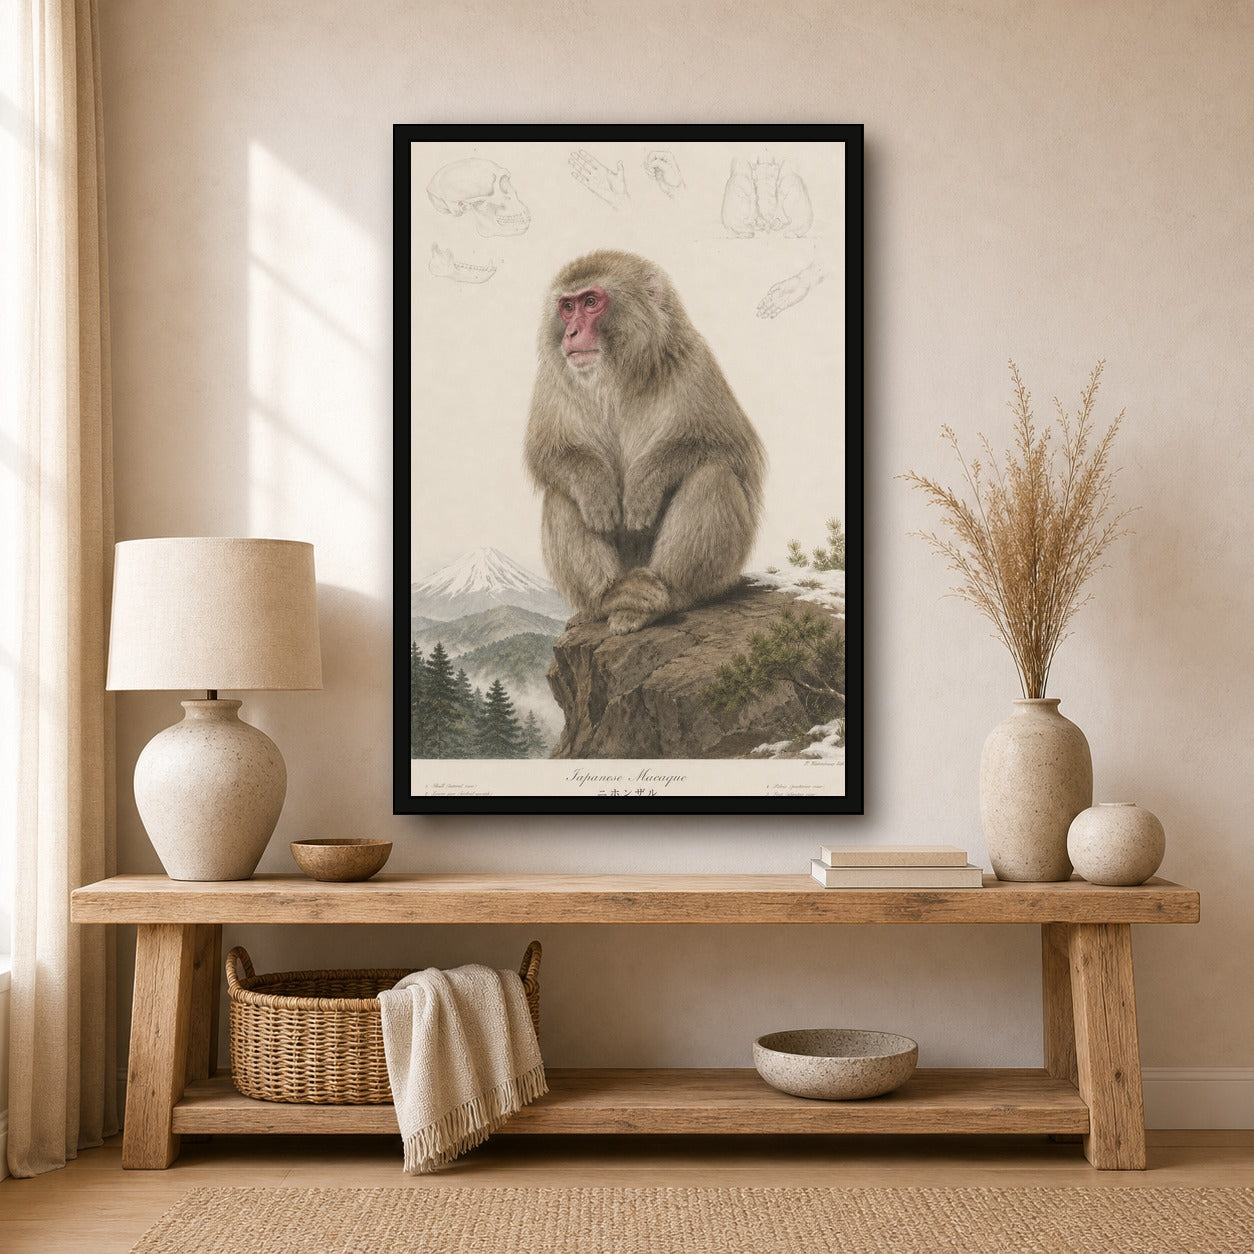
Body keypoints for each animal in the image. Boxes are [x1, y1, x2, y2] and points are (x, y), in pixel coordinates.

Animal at [524, 250, 766, 635]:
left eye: (590, 302)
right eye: (567, 306)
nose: (572, 332)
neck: (619, 373)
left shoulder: (694, 362)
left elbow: (727, 445)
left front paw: (643, 487)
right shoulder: (554, 376)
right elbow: (549, 451)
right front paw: (596, 489)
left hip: (717, 574)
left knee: (712, 475)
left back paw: (663, 596)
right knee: (561, 494)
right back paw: (610, 597)